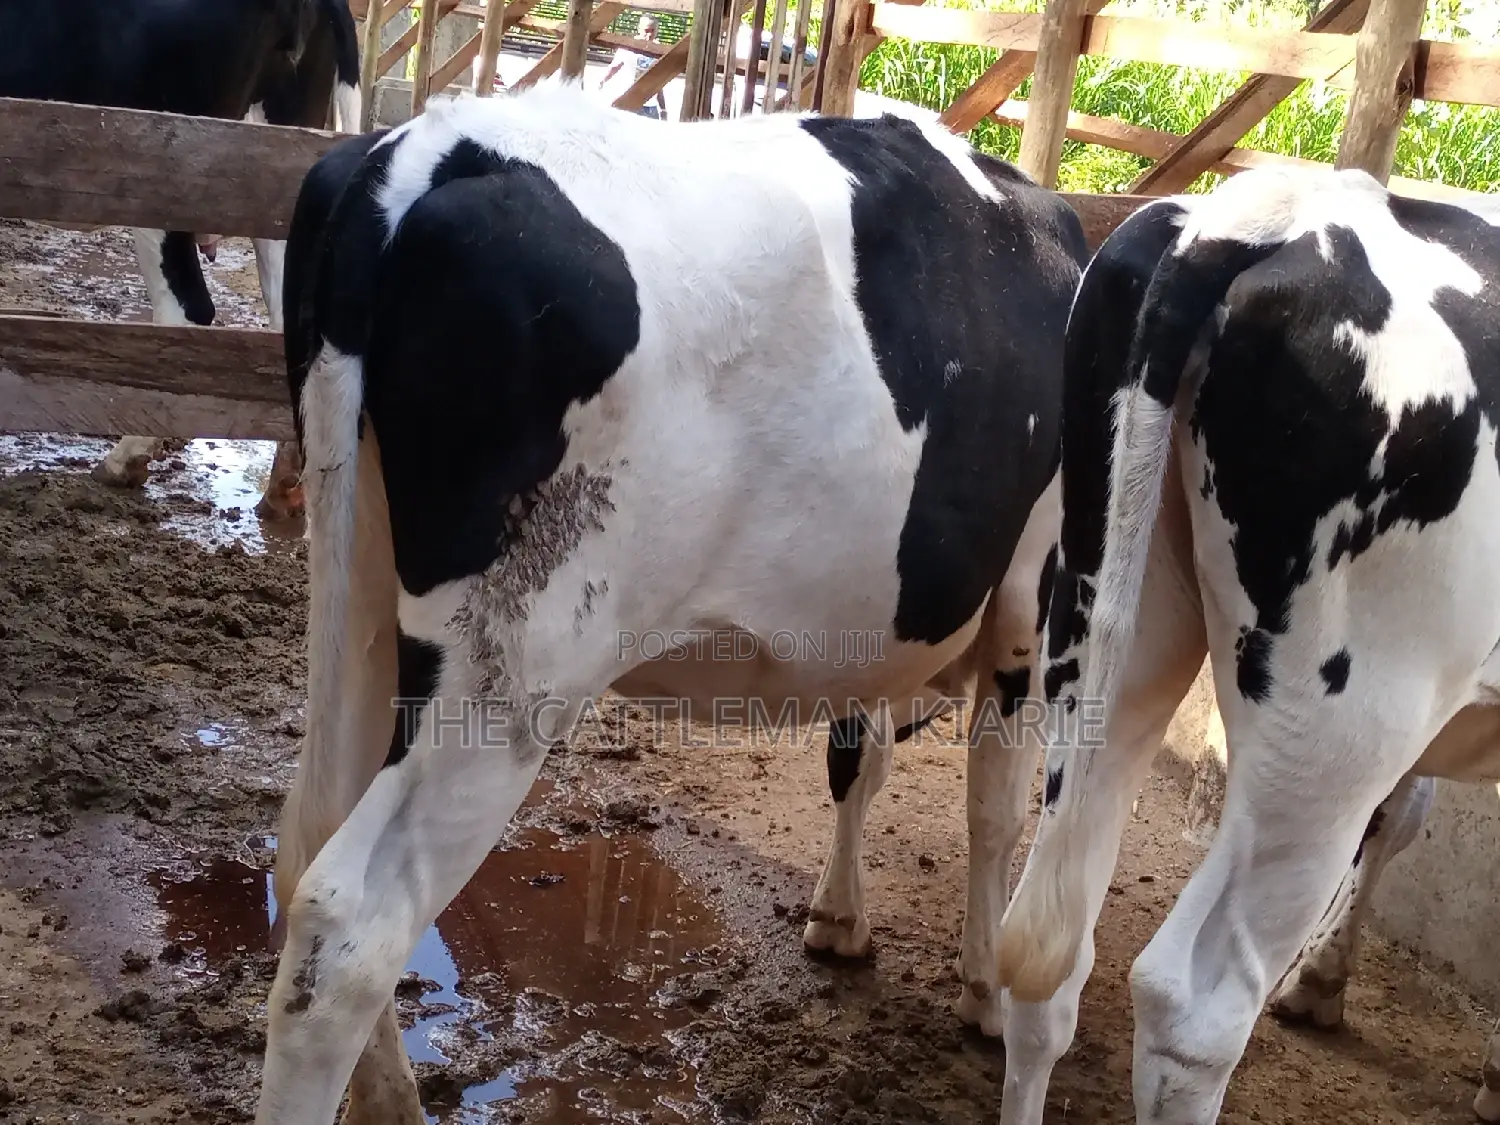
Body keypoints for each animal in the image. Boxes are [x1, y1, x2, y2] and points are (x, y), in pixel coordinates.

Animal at [251, 85, 1088, 1121]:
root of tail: (421, 152)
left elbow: (860, 758)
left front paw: (840, 916)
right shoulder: (1029, 602)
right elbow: (993, 810)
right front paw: (982, 987)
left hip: (357, 584)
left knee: (305, 839)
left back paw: (394, 1097)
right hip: (512, 670)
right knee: (351, 926)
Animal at [987, 164, 1500, 1125]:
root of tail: (1270, 210)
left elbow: (1409, 811)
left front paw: (1324, 982)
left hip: (1111, 620)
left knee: (1048, 964)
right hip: (1340, 726)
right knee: (1191, 1010)